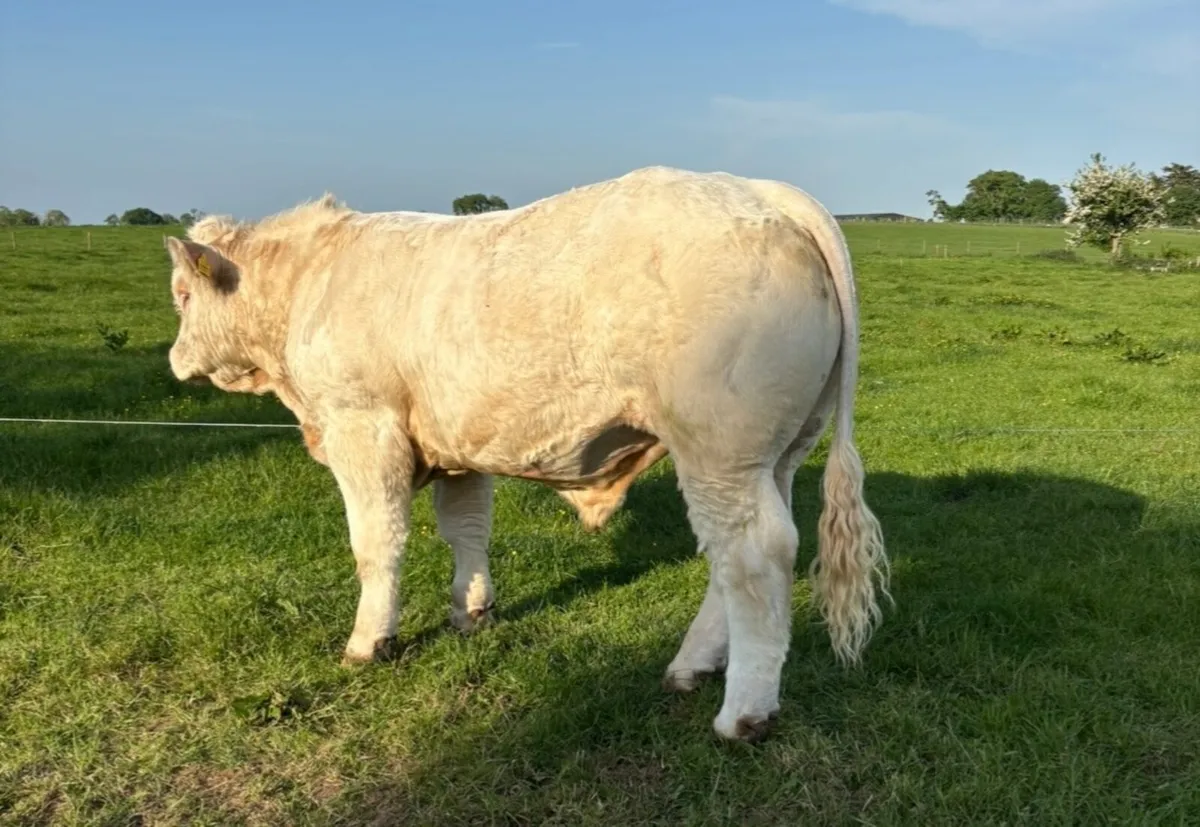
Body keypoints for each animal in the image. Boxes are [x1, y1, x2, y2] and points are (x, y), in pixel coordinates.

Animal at [162, 165, 890, 743]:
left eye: (182, 294)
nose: (174, 358)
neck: (308, 285)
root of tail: (761, 189)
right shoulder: (456, 446)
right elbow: (466, 530)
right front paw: (473, 610)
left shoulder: (363, 429)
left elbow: (377, 543)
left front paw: (369, 641)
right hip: (776, 453)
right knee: (740, 554)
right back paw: (691, 666)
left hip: (718, 449)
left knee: (754, 556)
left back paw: (744, 713)